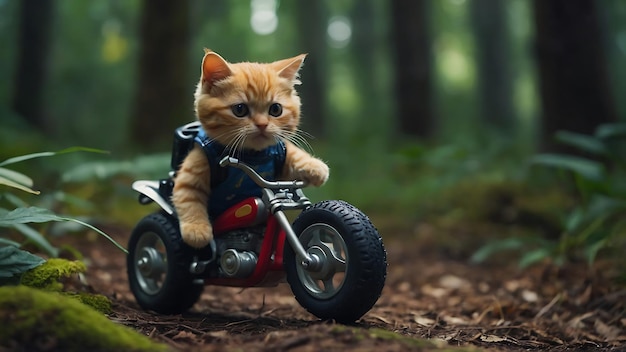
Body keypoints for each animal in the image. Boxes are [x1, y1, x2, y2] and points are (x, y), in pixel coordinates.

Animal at [171, 50, 326, 248]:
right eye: (240, 109)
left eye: (275, 109)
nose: (262, 124)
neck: (253, 156)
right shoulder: (198, 162)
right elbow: (188, 195)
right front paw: (196, 230)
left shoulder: (277, 154)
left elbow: (292, 153)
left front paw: (315, 167)